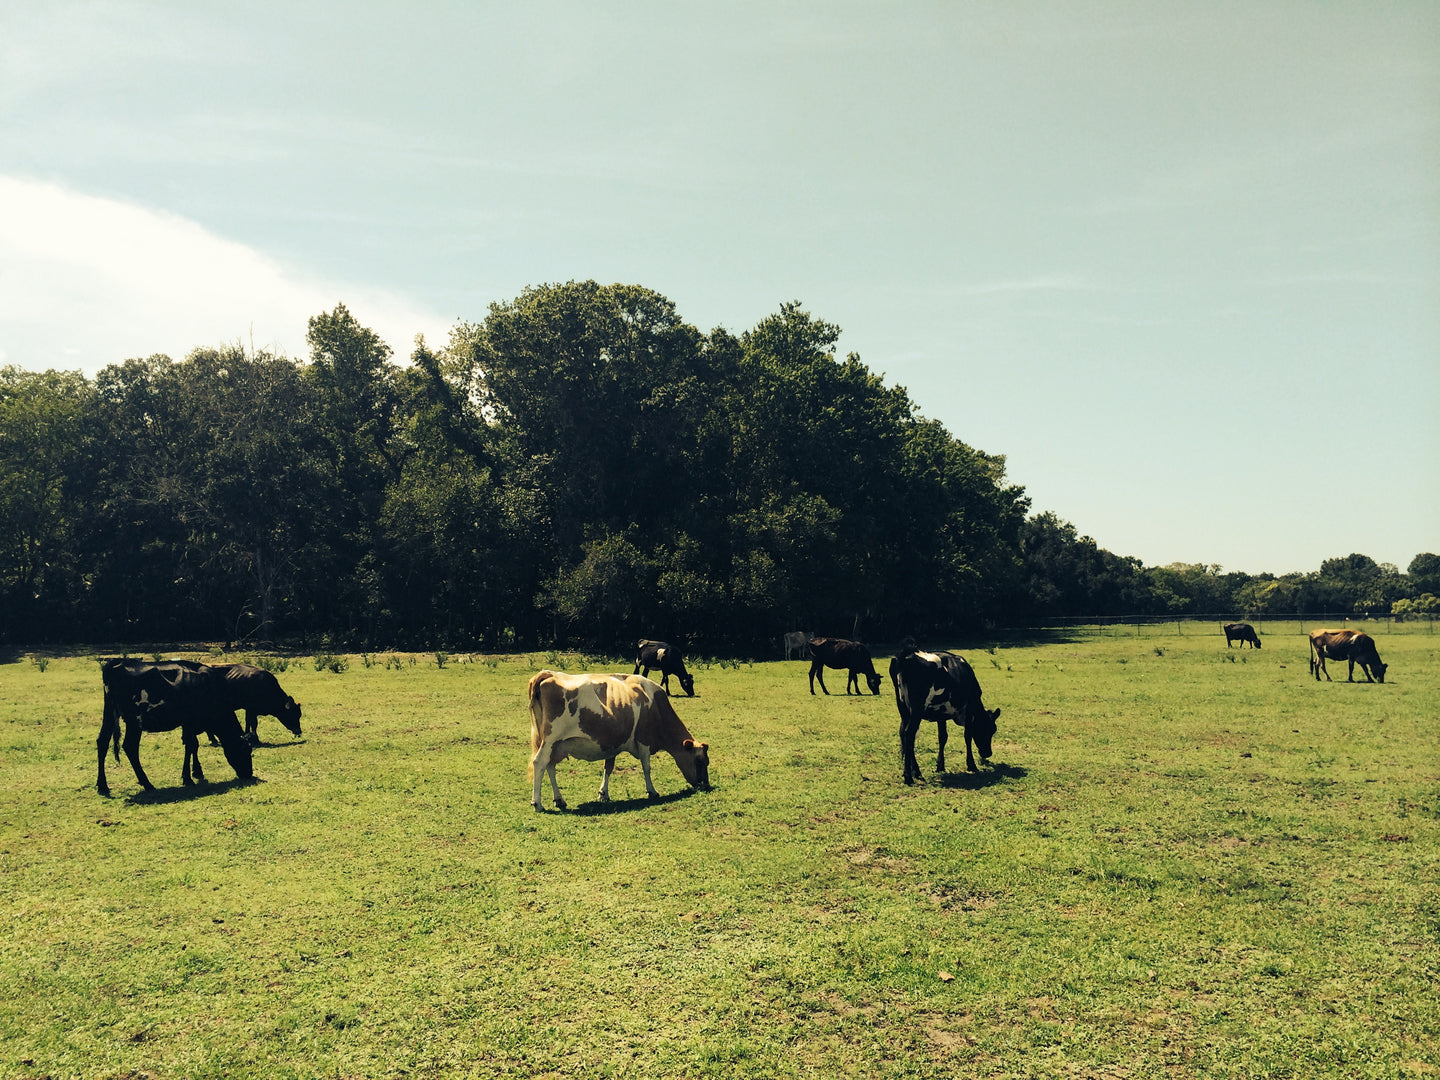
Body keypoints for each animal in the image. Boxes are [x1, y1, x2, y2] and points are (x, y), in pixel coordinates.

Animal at [97, 656, 253, 800]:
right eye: (246, 750)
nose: (249, 774)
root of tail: (118, 662)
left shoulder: (187, 723)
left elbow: (193, 746)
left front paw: (197, 772)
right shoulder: (189, 721)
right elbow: (191, 745)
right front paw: (188, 778)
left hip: (110, 713)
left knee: (102, 741)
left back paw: (102, 786)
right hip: (135, 720)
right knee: (130, 747)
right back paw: (147, 784)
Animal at [527, 668, 711, 812]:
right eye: (700, 761)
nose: (706, 786)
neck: (656, 707)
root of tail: (549, 674)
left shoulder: (612, 742)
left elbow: (608, 768)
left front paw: (603, 794)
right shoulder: (644, 740)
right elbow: (646, 767)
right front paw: (651, 791)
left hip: (554, 744)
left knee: (549, 766)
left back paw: (559, 799)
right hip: (551, 739)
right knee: (539, 763)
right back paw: (538, 803)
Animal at [887, 642, 1002, 789]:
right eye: (990, 730)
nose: (988, 753)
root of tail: (908, 653)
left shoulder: (941, 714)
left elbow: (942, 737)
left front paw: (940, 765)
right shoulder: (969, 709)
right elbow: (967, 736)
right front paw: (971, 765)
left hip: (903, 709)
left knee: (904, 734)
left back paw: (916, 772)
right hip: (917, 709)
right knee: (909, 734)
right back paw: (909, 776)